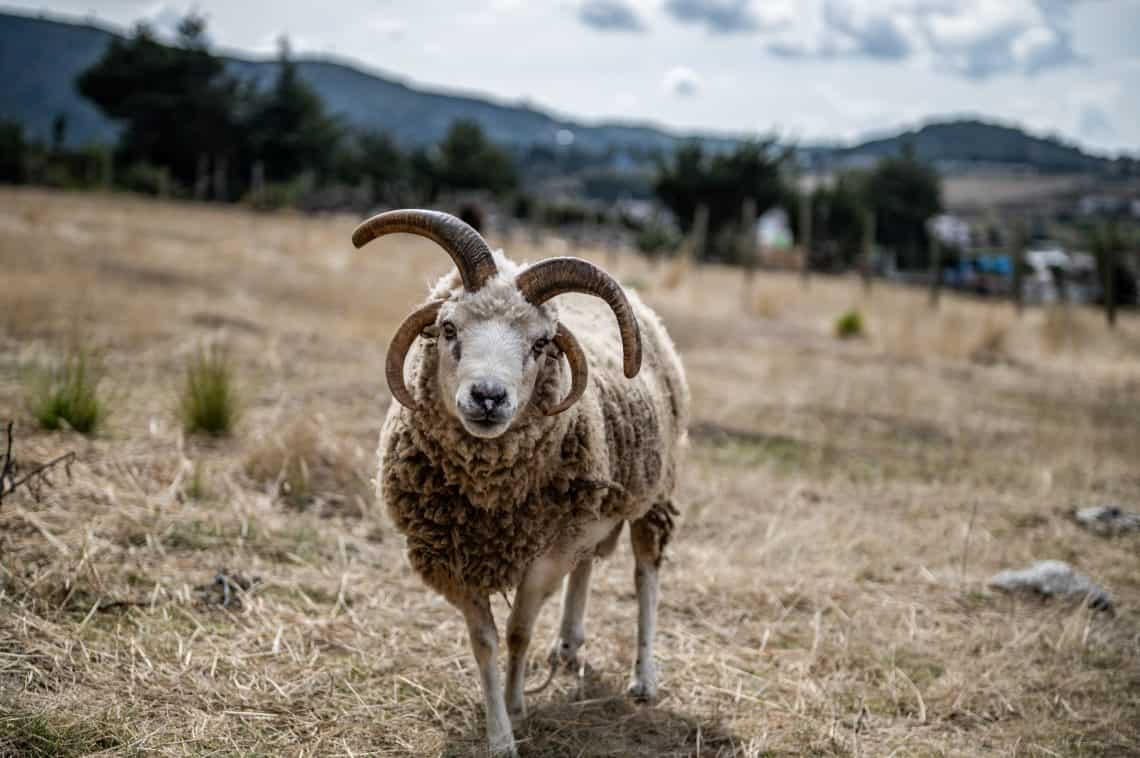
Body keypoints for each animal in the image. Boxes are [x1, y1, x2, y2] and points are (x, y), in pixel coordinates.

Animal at [353, 209, 688, 757]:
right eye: (448, 327)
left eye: (540, 343)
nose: (488, 397)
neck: (490, 496)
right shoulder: (453, 558)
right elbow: (485, 642)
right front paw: (499, 734)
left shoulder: (546, 555)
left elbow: (518, 632)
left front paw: (515, 706)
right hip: (590, 503)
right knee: (587, 564)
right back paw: (568, 645)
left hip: (653, 492)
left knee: (646, 574)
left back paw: (643, 678)